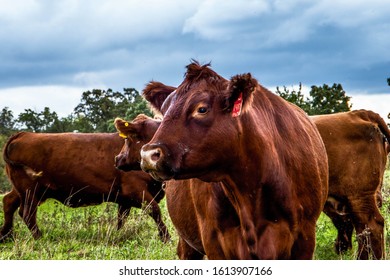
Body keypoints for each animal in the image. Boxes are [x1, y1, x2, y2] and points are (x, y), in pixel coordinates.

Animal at [0, 131, 170, 243]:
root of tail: (24, 134)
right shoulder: (136, 190)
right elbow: (155, 211)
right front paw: (166, 238)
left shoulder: (124, 199)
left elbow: (121, 219)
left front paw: (118, 235)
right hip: (31, 191)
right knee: (27, 213)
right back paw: (39, 238)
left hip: (22, 190)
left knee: (9, 202)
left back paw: (6, 235)